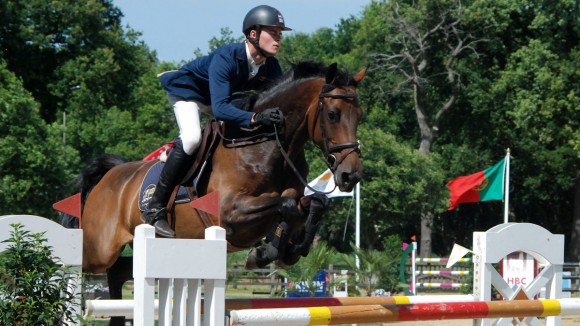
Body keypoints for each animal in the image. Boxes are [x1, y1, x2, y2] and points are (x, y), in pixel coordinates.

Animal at [78, 62, 362, 322]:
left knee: (119, 272)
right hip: (99, 249)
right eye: (333, 114)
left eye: (359, 115)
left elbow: (313, 203)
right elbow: (287, 205)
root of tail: (110, 175)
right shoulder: (230, 214)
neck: (266, 146)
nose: (351, 175)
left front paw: (285, 250)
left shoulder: (289, 198)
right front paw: (264, 253)